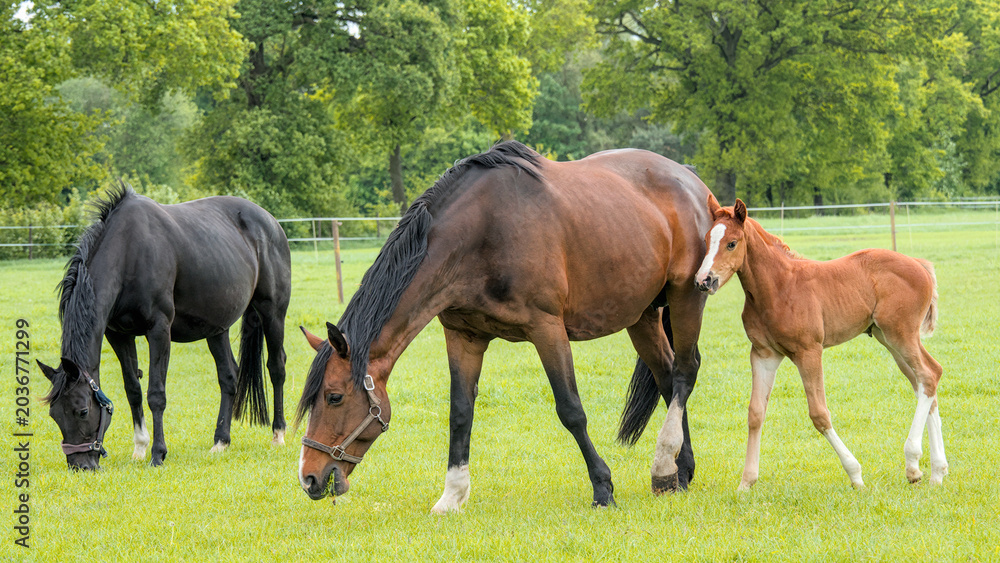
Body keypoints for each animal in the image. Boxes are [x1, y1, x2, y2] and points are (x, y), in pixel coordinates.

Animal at [37, 183, 291, 470]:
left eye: (82, 411)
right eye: (54, 414)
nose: (80, 466)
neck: (129, 253)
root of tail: (270, 221)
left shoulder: (159, 330)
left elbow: (156, 394)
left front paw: (158, 453)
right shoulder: (118, 335)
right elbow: (133, 390)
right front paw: (139, 447)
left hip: (273, 312)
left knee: (276, 367)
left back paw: (278, 434)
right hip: (217, 329)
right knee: (228, 376)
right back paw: (220, 441)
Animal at [296, 140, 714, 511]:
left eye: (334, 397)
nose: (309, 478)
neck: (482, 231)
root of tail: (691, 180)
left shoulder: (547, 329)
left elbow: (571, 409)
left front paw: (602, 488)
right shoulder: (463, 335)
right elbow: (460, 413)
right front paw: (452, 496)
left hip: (686, 297)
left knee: (685, 373)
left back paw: (664, 465)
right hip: (641, 316)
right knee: (667, 379)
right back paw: (679, 471)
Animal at [694, 196, 947, 489]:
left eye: (732, 243)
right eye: (706, 239)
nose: (703, 280)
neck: (778, 287)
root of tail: (919, 265)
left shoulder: (809, 352)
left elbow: (819, 414)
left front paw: (855, 474)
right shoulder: (764, 355)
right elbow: (755, 413)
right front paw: (746, 483)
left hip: (901, 334)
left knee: (928, 375)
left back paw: (913, 462)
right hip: (889, 339)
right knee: (925, 381)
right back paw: (936, 471)